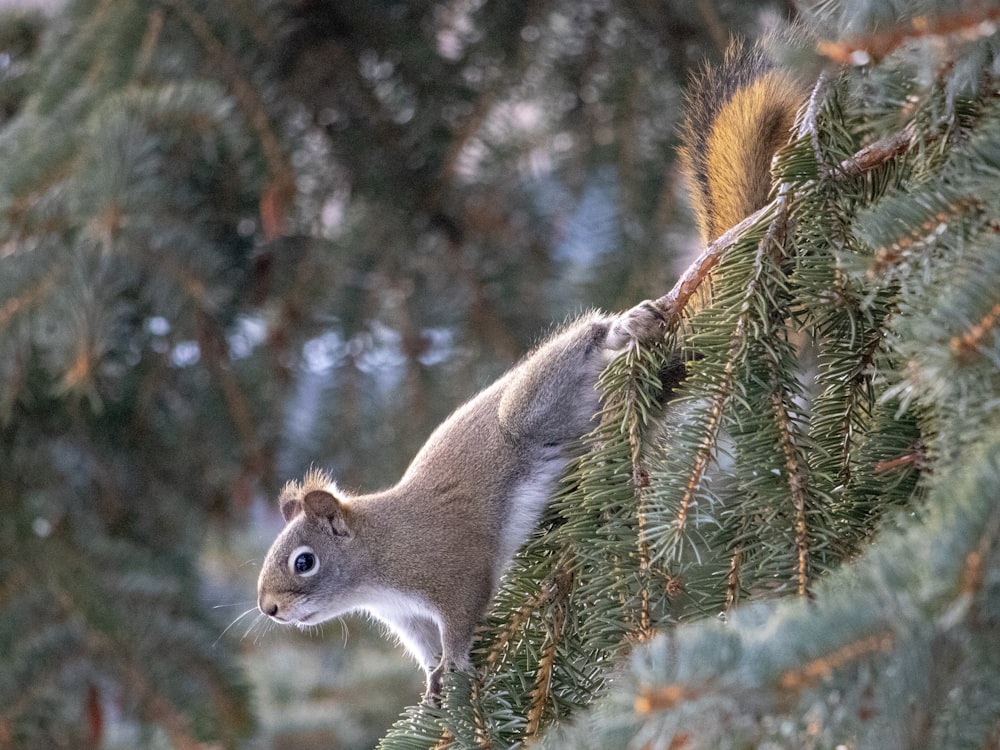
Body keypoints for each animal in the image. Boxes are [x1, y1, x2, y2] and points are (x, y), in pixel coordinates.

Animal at [256, 38, 804, 704]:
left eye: (303, 561)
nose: (268, 609)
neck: (377, 558)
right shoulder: (410, 620)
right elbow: (426, 652)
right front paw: (433, 687)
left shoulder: (448, 570)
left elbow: (460, 620)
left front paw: (459, 667)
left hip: (532, 407)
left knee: (588, 342)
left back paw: (626, 328)